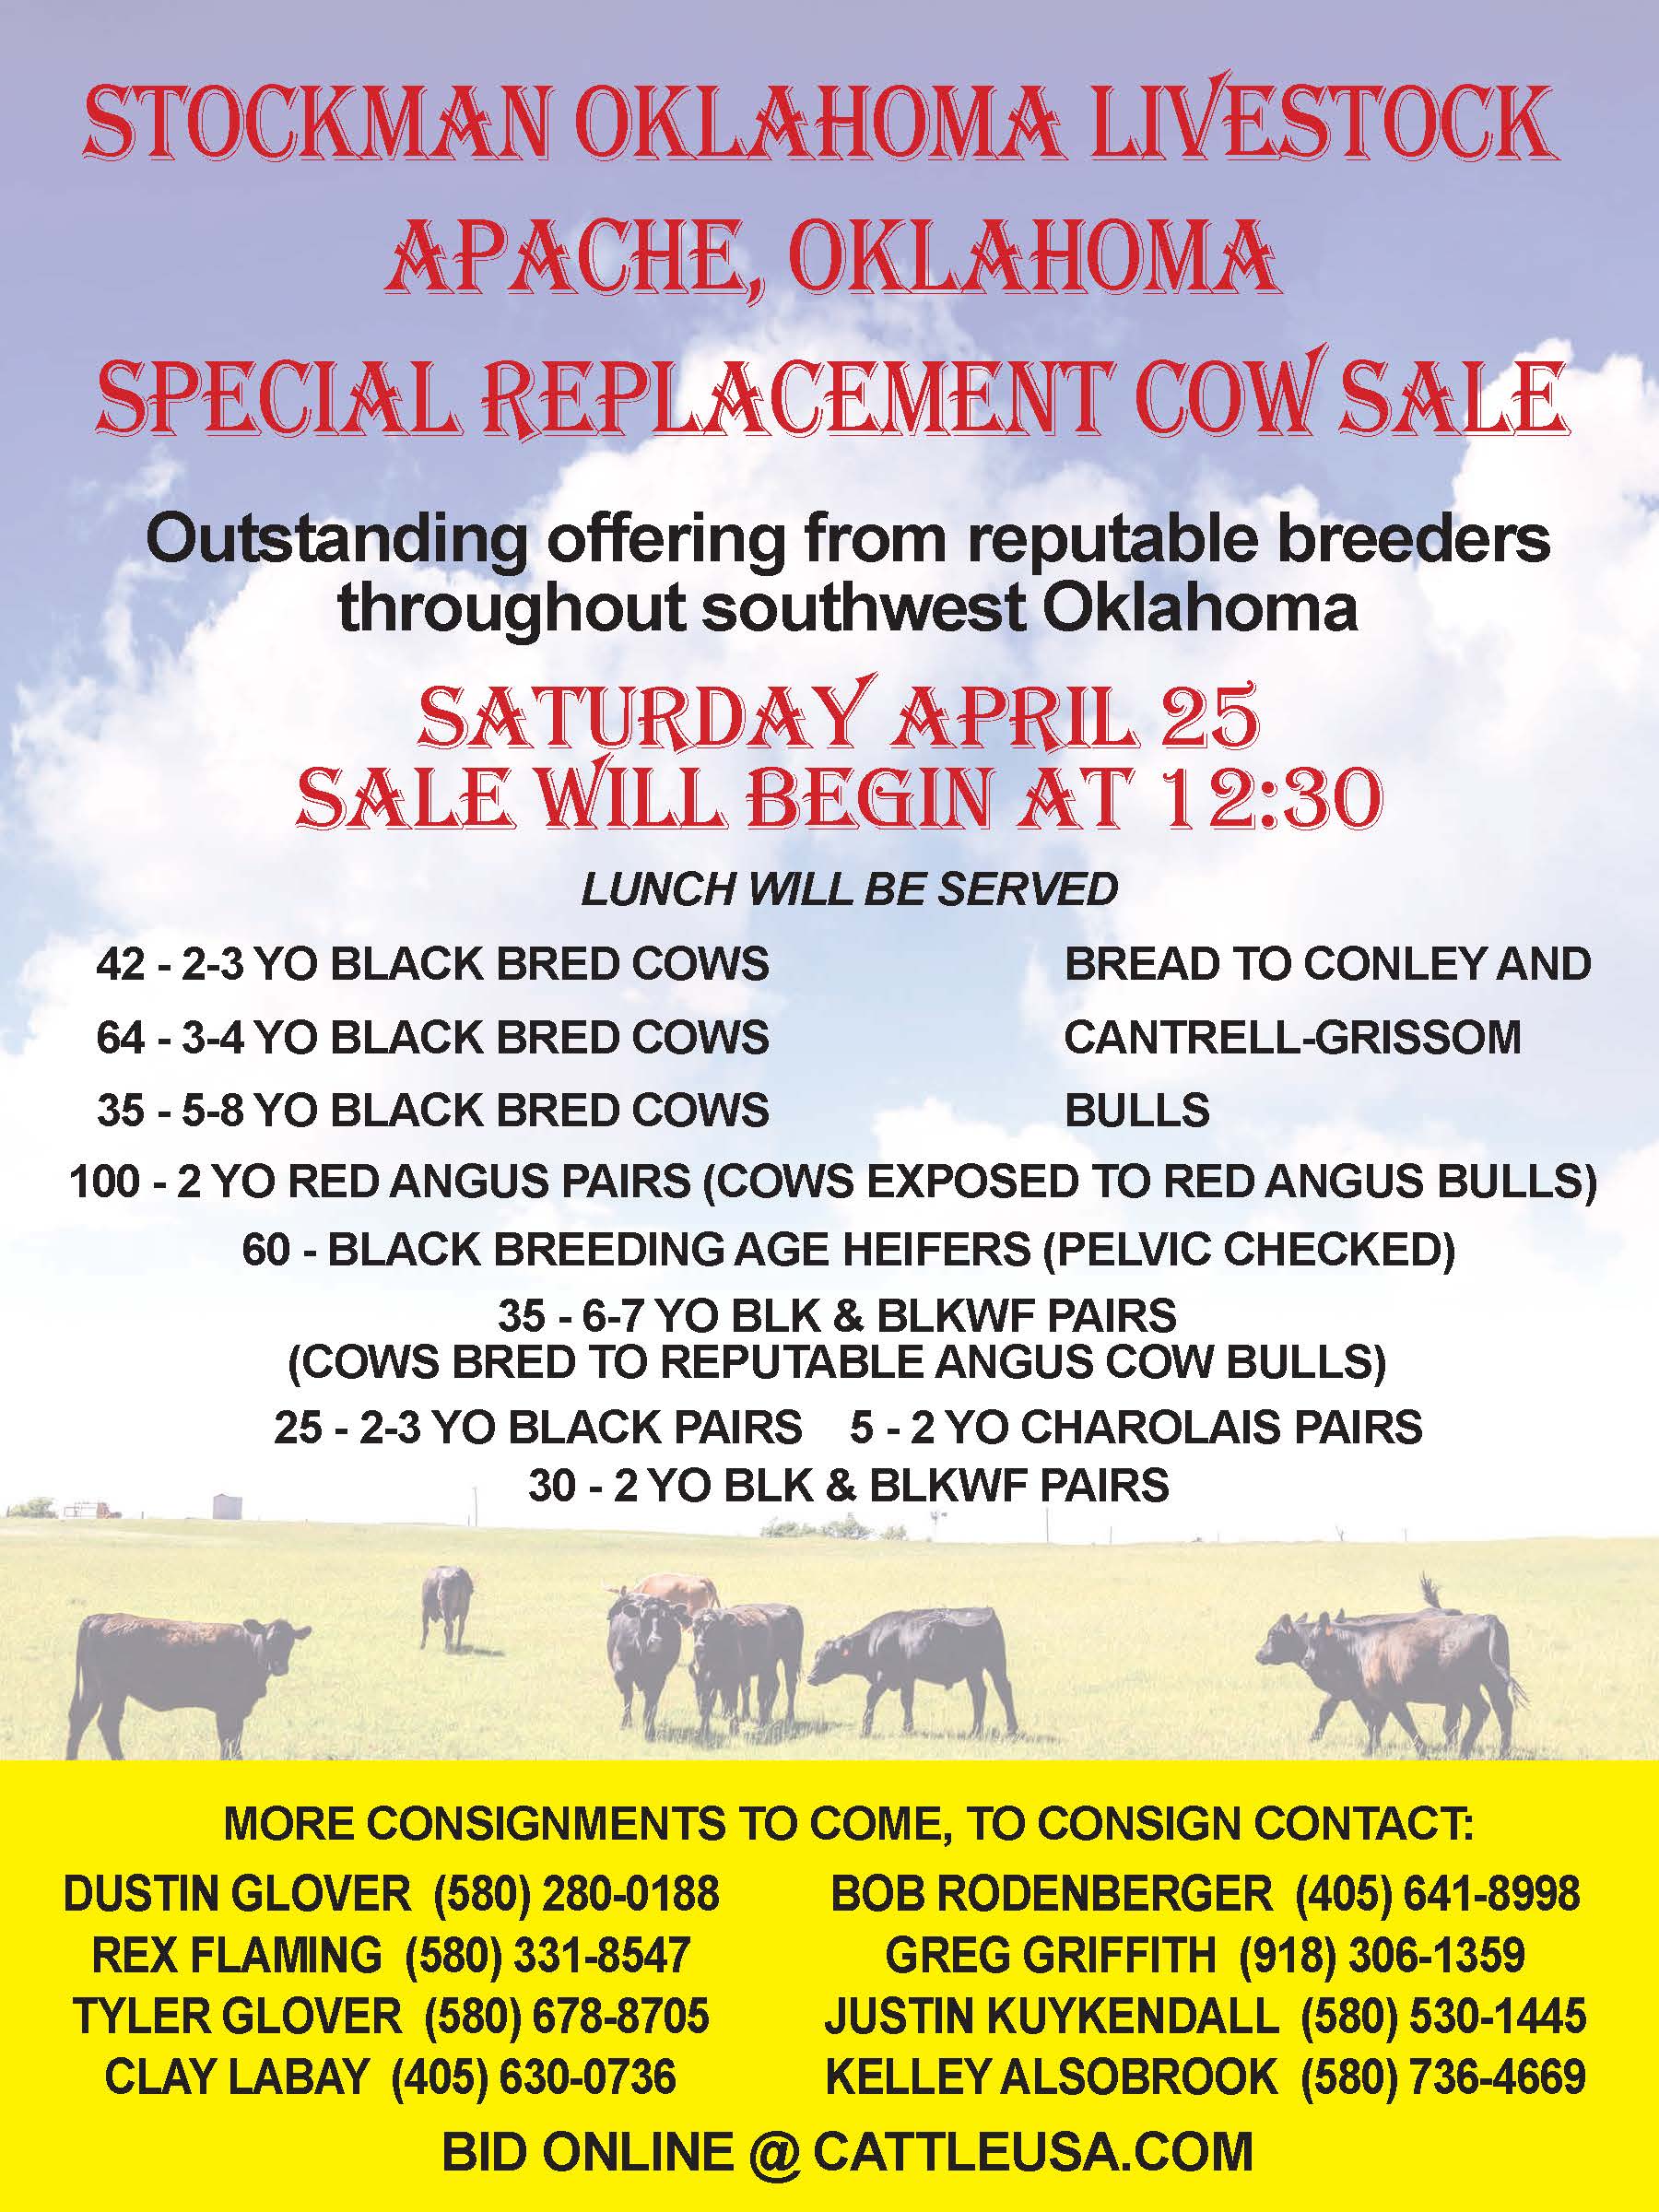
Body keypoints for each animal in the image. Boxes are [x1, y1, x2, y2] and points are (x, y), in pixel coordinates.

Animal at [65, 1613, 312, 1761]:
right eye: (268, 1639)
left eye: (290, 1642)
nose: (279, 1666)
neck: (248, 1649)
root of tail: (104, 1616)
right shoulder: (227, 1709)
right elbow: (229, 1741)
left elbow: (233, 1739)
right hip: (112, 1691)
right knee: (107, 1722)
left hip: (94, 1688)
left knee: (81, 1718)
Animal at [606, 1593, 687, 1743]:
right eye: (643, 1618)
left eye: (667, 1618)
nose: (656, 1641)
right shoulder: (621, 1669)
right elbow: (628, 1697)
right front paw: (626, 1723)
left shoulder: (659, 1679)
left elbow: (651, 1705)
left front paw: (650, 1731)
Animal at [688, 1604, 804, 1741]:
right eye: (694, 1629)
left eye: (712, 1629)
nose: (699, 1647)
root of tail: (789, 1608)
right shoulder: (710, 1679)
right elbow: (713, 1700)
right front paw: (703, 1730)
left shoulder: (733, 1680)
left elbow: (733, 1701)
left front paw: (734, 1728)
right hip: (770, 1666)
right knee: (773, 1686)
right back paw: (765, 1718)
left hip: (790, 1660)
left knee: (789, 1687)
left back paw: (788, 1717)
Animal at [808, 1608, 1017, 1739]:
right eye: (816, 1655)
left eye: (826, 1657)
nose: (810, 1678)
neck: (874, 1638)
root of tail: (987, 1612)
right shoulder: (907, 1679)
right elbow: (907, 1701)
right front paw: (908, 1728)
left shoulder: (883, 1679)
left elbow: (871, 1699)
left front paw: (865, 1730)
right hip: (981, 1671)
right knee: (985, 1693)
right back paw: (980, 1731)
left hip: (989, 1668)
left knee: (999, 1692)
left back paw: (1007, 1730)